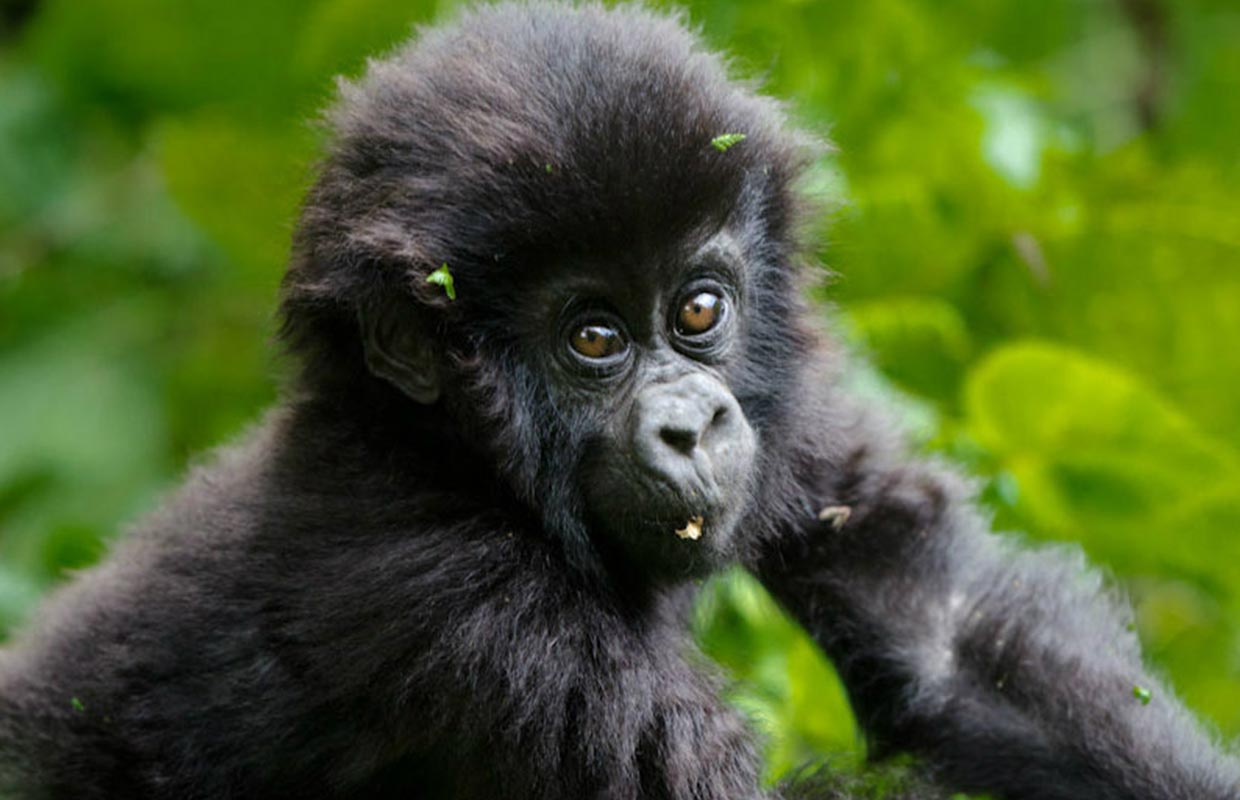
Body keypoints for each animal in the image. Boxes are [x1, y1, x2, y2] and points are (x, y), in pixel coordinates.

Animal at [1, 3, 1237, 799]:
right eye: (593, 339)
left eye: (698, 309)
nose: (694, 422)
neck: (435, 450)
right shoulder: (465, 606)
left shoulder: (790, 404)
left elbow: (946, 645)